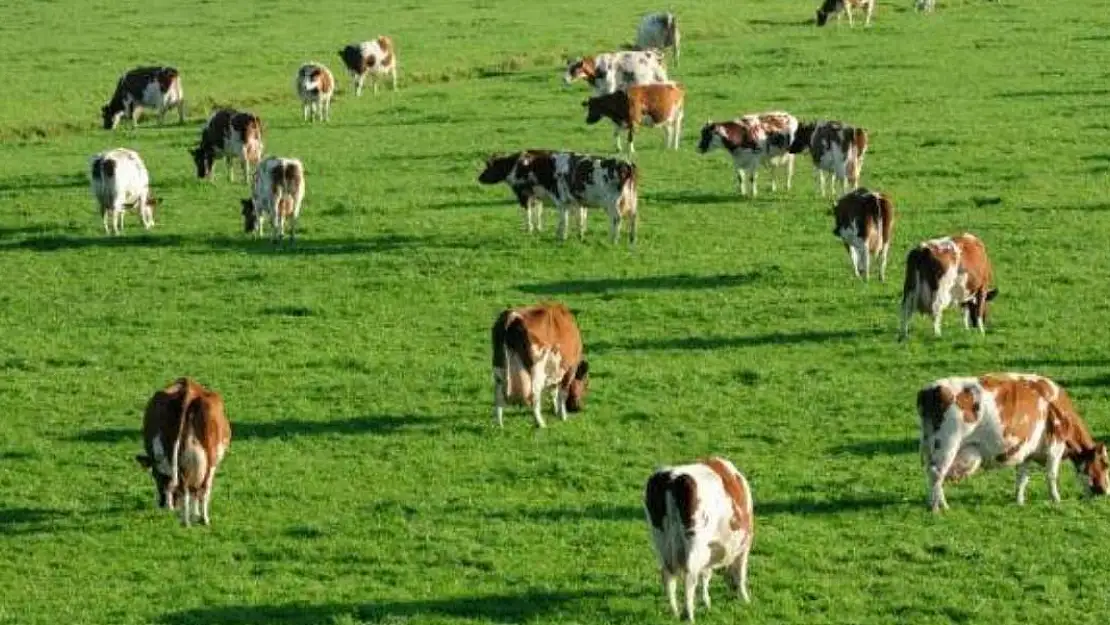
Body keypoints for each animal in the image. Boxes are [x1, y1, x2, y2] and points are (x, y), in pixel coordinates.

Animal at [137, 379, 235, 526]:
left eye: (154, 476)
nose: (161, 504)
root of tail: (188, 389)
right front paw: (195, 513)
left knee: (185, 487)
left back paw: (188, 520)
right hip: (209, 456)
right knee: (199, 487)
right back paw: (197, 520)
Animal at [472, 152, 639, 247]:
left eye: (489, 167)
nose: (479, 178)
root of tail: (626, 163)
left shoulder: (532, 196)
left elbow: (557, 219)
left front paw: (534, 231)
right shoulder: (573, 201)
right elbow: (577, 218)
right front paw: (578, 235)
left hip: (612, 203)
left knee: (616, 219)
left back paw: (613, 240)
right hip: (631, 200)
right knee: (633, 217)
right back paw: (631, 239)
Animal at [643, 457, 754, 621]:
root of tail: (673, 477)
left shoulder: (710, 549)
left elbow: (706, 574)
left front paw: (706, 601)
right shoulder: (744, 544)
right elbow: (740, 573)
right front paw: (745, 598)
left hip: (661, 541)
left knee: (667, 575)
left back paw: (675, 612)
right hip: (694, 542)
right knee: (689, 578)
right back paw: (689, 616)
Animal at [919, 370, 1110, 512]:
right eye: (1105, 464)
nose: (1106, 492)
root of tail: (930, 389)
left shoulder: (1026, 450)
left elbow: (1022, 477)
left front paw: (1019, 501)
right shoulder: (1055, 447)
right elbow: (1051, 475)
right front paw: (1056, 499)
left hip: (931, 445)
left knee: (932, 473)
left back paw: (932, 503)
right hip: (947, 443)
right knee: (937, 473)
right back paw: (938, 508)